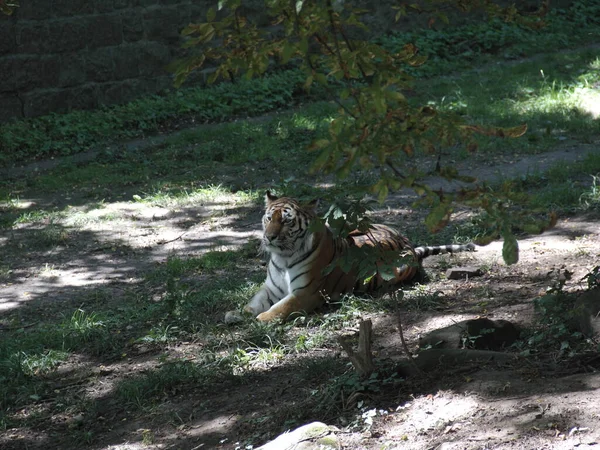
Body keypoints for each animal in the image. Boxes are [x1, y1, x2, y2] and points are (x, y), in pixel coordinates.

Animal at [223, 191, 476, 324]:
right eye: (268, 218)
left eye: (286, 220)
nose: (269, 237)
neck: (283, 257)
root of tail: (410, 245)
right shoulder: (270, 288)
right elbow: (252, 302)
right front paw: (237, 314)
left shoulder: (306, 293)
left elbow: (281, 307)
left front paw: (262, 319)